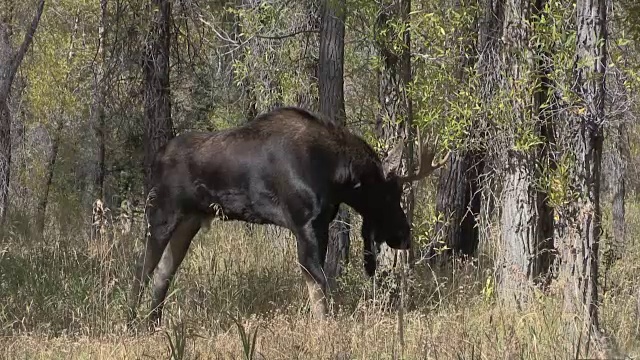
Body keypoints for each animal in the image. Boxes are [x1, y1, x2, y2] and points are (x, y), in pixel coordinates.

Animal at [124, 105, 444, 328]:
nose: (404, 235)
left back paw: (153, 325)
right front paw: (326, 330)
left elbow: (319, 284)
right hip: (162, 215)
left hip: (189, 222)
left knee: (163, 273)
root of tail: (156, 159)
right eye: (389, 195)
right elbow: (319, 284)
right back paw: (131, 322)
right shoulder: (305, 225)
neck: (338, 175)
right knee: (142, 271)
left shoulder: (320, 226)